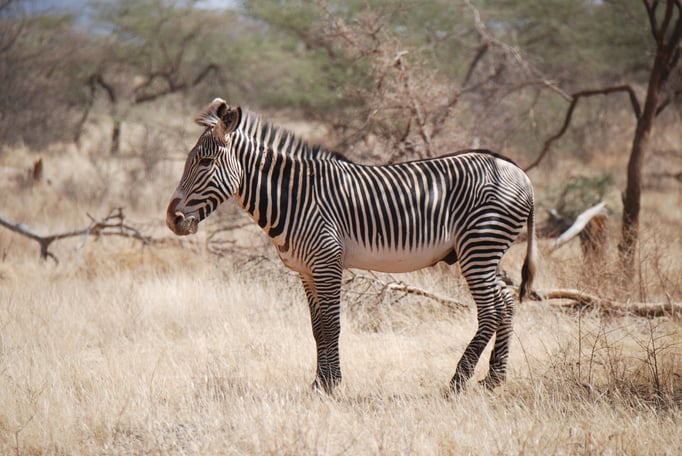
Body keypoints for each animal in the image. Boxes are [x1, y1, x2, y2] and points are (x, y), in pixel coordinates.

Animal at [167, 98, 537, 394]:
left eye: (204, 162)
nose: (172, 219)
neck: (295, 198)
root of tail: (519, 172)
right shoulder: (306, 271)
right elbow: (317, 328)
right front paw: (318, 382)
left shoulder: (327, 262)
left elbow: (332, 325)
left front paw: (332, 383)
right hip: (486, 251)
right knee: (506, 303)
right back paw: (494, 378)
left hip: (479, 247)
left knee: (490, 311)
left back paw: (459, 379)